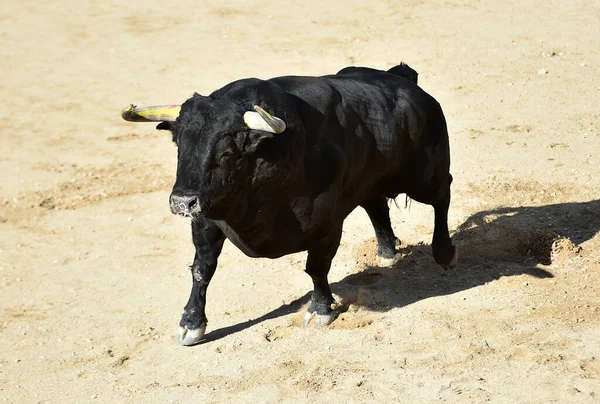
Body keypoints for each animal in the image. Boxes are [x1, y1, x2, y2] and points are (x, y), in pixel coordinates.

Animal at [124, 63, 458, 344]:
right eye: (179, 146)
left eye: (226, 153)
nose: (183, 202)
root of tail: (401, 79)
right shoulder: (206, 222)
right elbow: (201, 270)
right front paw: (191, 323)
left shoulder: (326, 224)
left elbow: (316, 268)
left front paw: (321, 309)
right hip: (373, 180)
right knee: (376, 204)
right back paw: (388, 252)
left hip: (425, 175)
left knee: (442, 195)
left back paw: (444, 253)